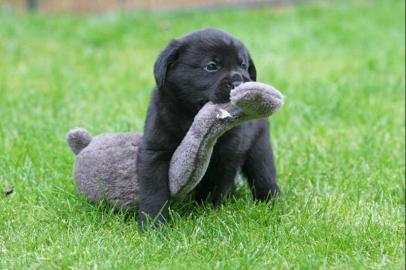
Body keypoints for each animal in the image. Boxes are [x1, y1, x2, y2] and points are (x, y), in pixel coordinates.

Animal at [138, 28, 280, 227]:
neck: (191, 117)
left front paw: (204, 212)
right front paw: (154, 224)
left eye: (243, 65)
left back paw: (272, 204)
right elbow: (153, 190)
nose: (240, 83)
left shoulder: (227, 153)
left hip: (260, 145)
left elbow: (214, 186)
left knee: (264, 174)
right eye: (211, 66)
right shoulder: (155, 149)